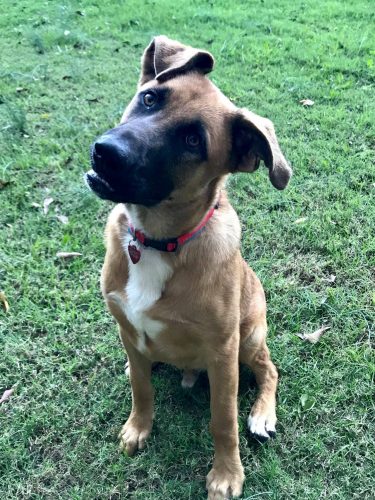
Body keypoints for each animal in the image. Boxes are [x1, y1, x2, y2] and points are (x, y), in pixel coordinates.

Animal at [86, 36, 294, 500]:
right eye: (149, 98)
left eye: (193, 141)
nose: (106, 153)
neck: (155, 242)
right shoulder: (127, 327)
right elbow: (141, 389)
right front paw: (137, 428)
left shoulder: (222, 352)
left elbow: (223, 421)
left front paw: (227, 474)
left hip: (249, 336)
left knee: (269, 368)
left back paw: (262, 414)